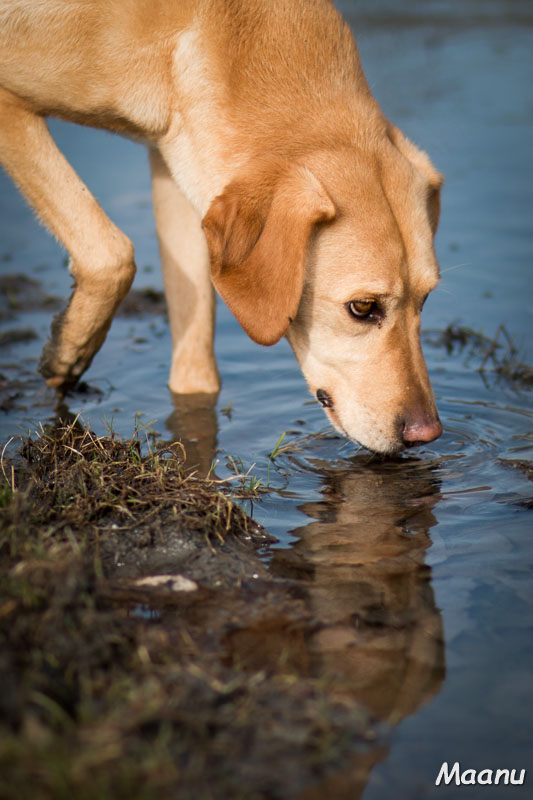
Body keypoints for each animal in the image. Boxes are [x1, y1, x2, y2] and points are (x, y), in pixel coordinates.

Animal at [0, 0, 440, 454]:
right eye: (363, 307)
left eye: (425, 299)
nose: (427, 434)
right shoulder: (8, 102)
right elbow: (112, 254)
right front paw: (68, 352)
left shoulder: (176, 165)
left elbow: (195, 360)